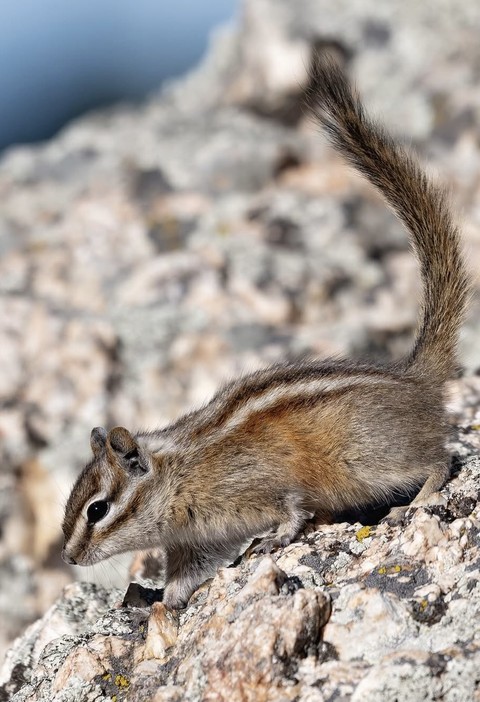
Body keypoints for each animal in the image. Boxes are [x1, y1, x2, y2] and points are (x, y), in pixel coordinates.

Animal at [62, 56, 469, 609]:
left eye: (97, 510)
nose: (68, 557)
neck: (177, 475)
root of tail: (416, 380)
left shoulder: (259, 488)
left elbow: (291, 508)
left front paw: (277, 537)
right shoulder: (195, 541)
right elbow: (186, 575)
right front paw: (159, 602)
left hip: (369, 459)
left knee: (440, 459)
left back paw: (417, 500)